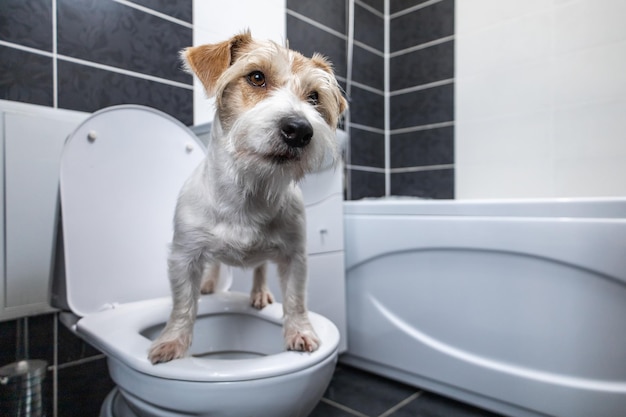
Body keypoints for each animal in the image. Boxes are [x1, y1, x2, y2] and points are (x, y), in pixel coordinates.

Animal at [149, 30, 348, 362]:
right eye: (256, 77)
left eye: (314, 97)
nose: (299, 130)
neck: (250, 189)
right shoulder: (183, 257)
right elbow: (182, 304)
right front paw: (172, 342)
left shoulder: (294, 256)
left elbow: (295, 299)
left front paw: (301, 332)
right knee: (215, 266)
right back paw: (209, 284)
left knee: (259, 268)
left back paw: (258, 293)